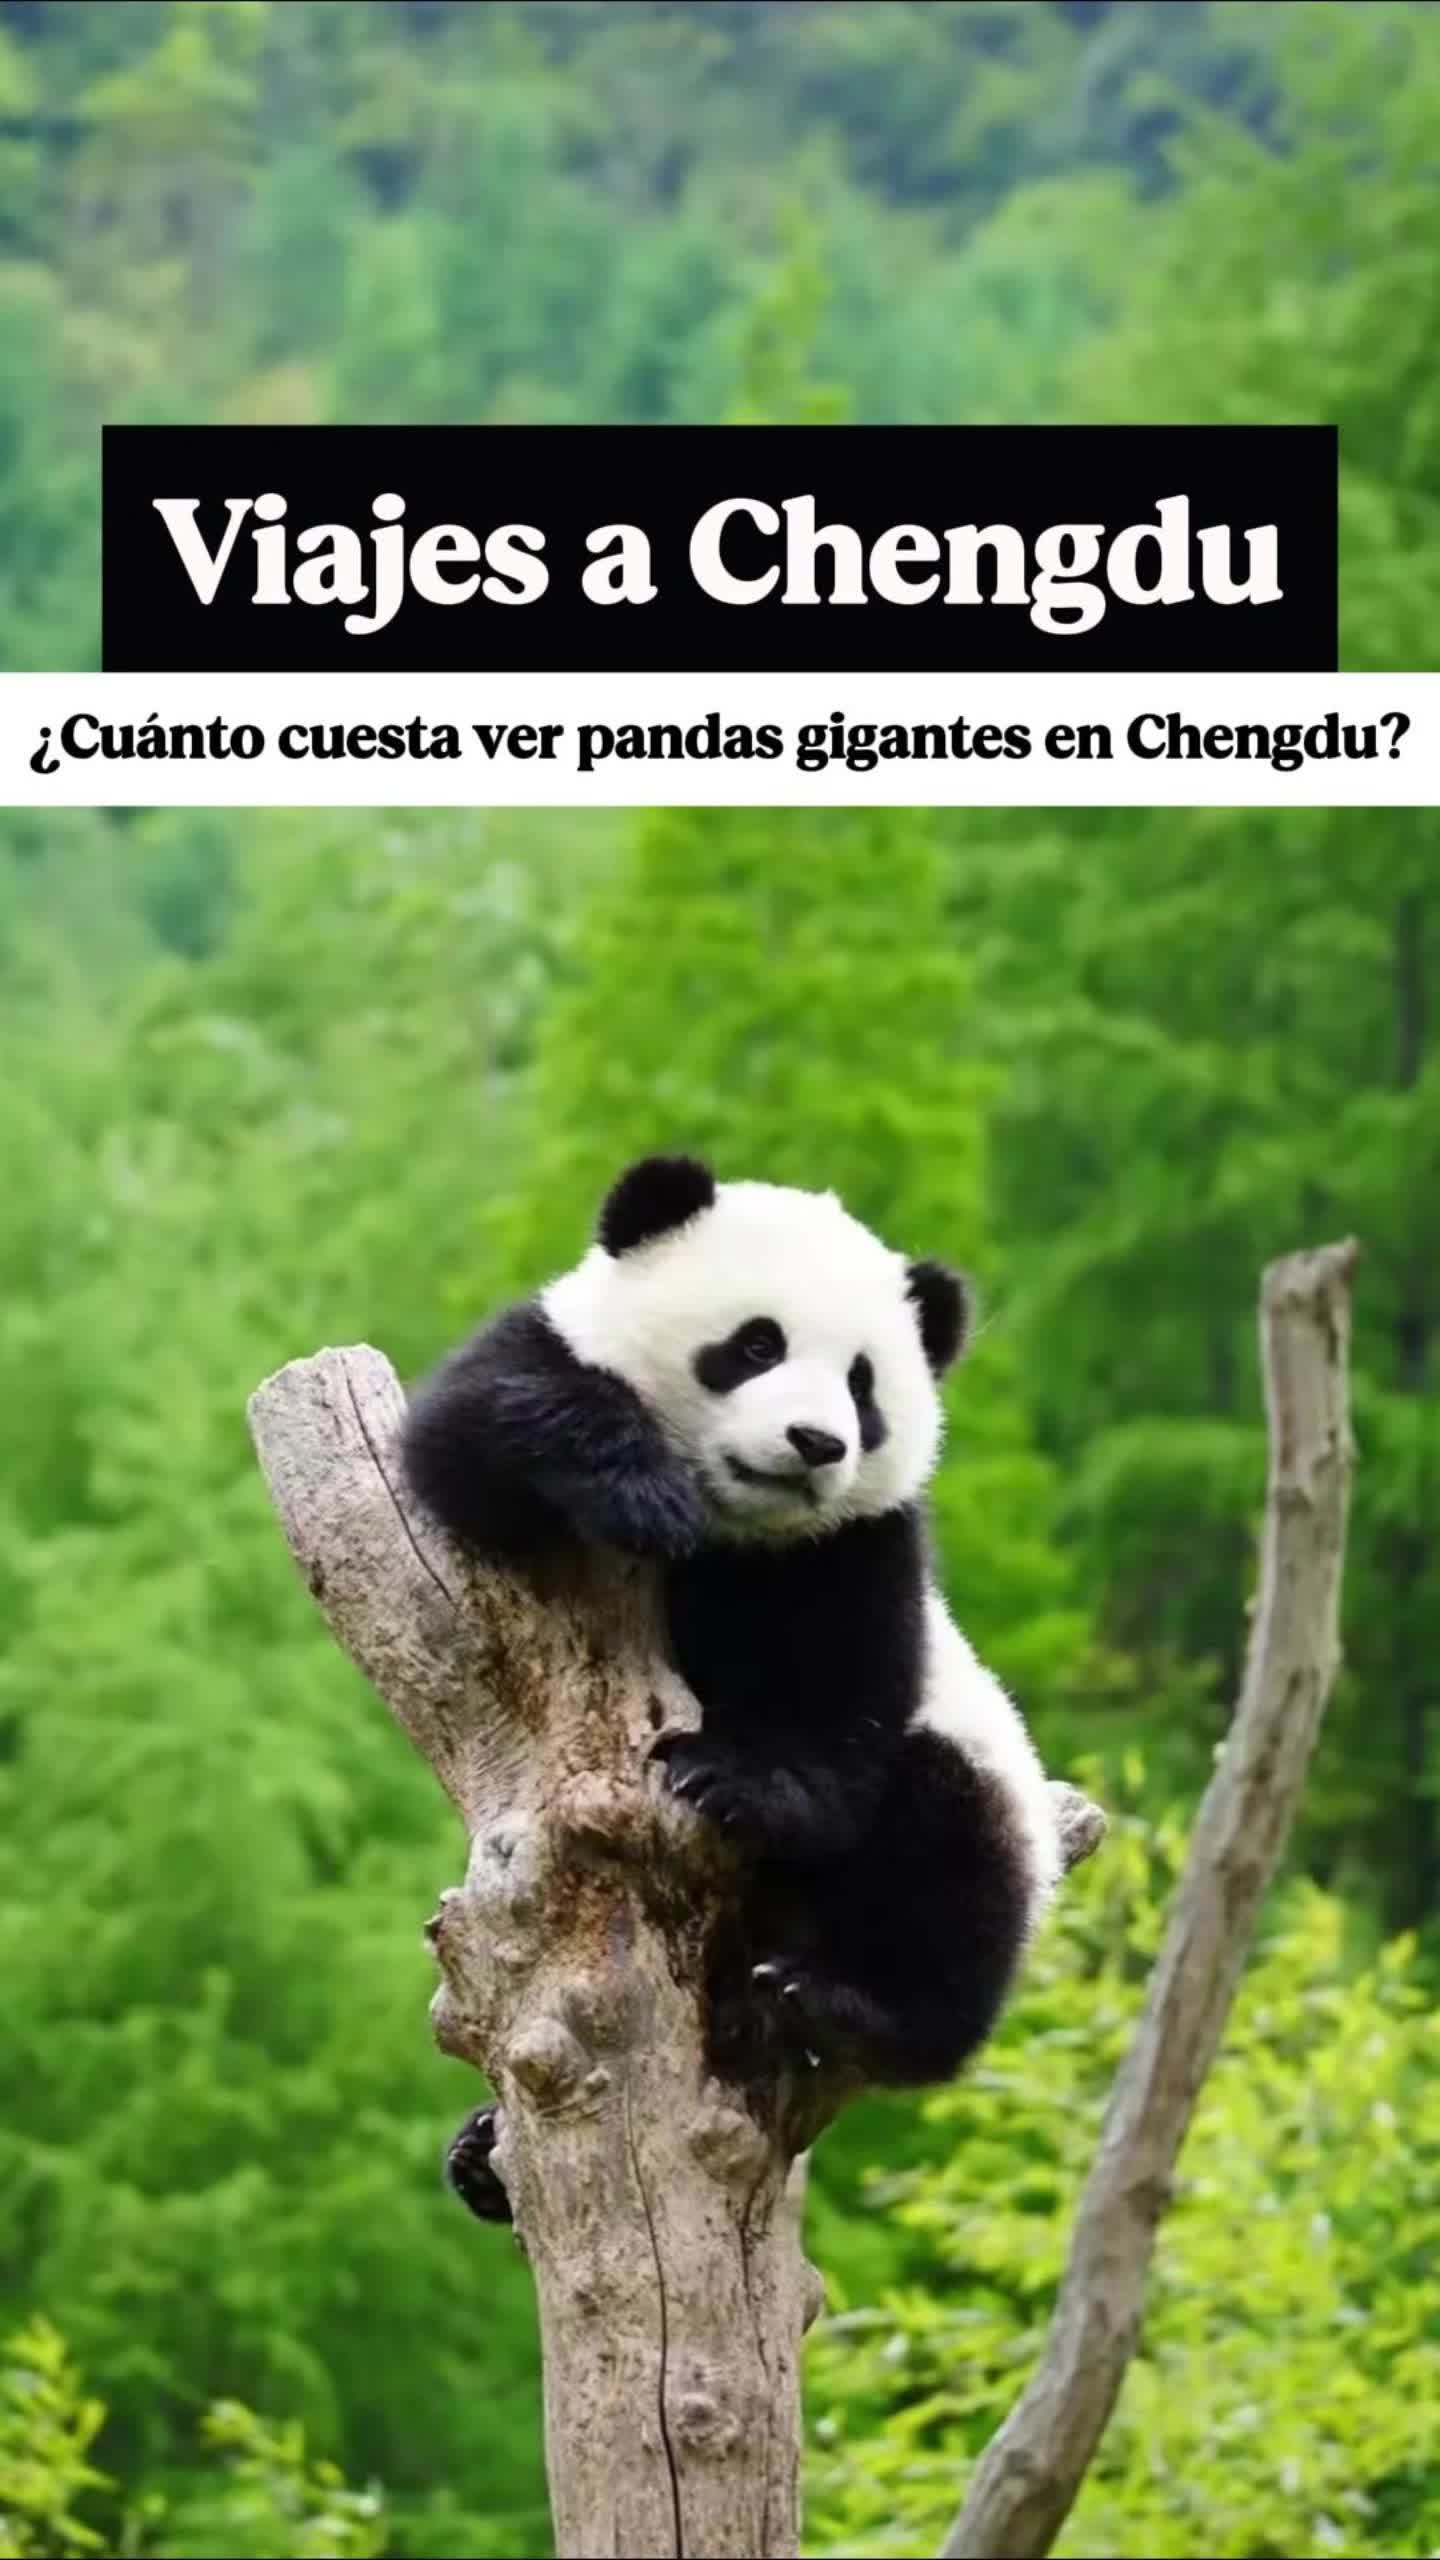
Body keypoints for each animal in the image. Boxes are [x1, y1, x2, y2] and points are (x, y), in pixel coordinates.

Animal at [402, 1155, 1063, 2223]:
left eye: (863, 1385)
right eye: (757, 1344)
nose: (816, 1442)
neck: (734, 1528)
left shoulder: (856, 1546)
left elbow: (841, 1698)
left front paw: (735, 1784)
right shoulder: (529, 1371)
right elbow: (479, 1435)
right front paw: (635, 1488)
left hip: (979, 1797)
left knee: (950, 1861)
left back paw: (842, 2003)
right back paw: (480, 2153)